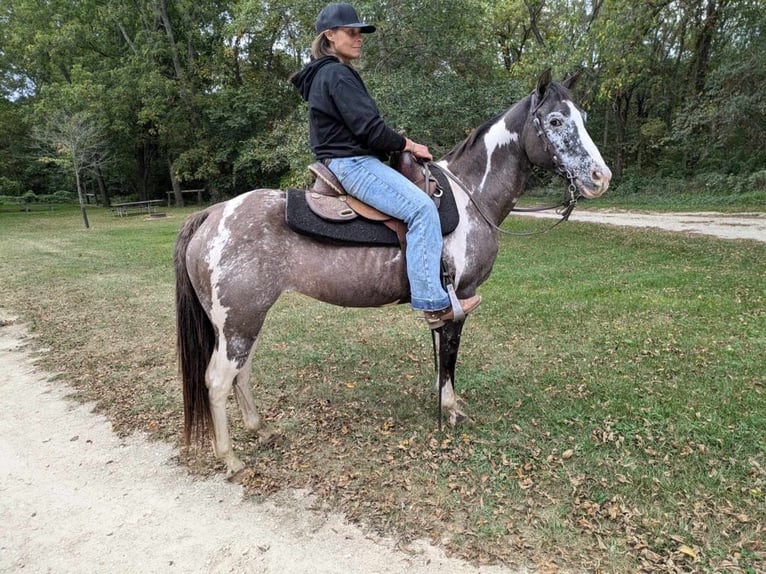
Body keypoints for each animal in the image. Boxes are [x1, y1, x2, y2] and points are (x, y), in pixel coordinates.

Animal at [174, 70, 612, 480]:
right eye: (555, 120)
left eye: (584, 116)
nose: (600, 177)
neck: (471, 197)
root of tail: (212, 214)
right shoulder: (461, 296)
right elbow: (450, 356)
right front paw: (452, 409)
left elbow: (441, 356)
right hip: (239, 321)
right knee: (218, 380)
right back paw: (230, 458)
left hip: (244, 321)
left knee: (242, 373)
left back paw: (261, 429)